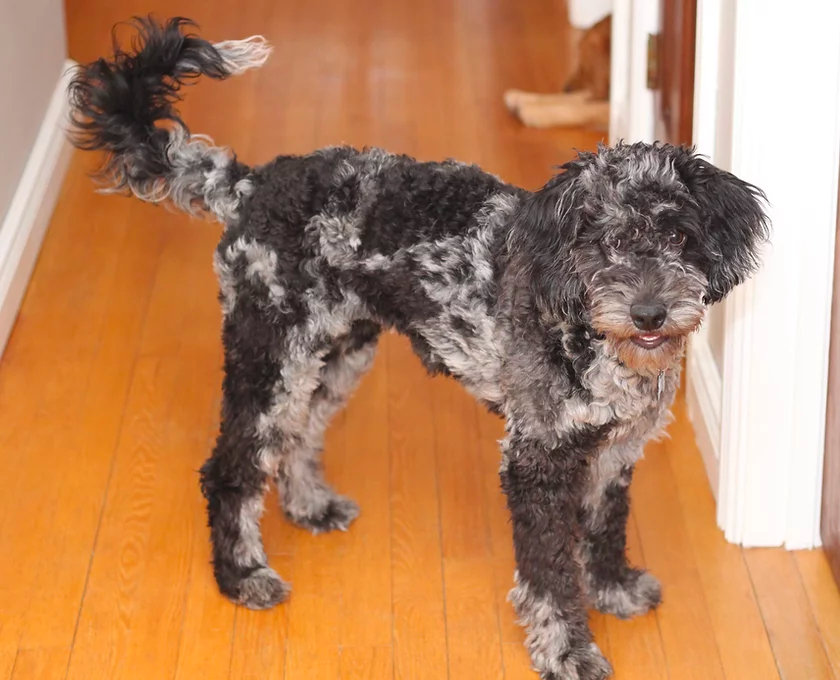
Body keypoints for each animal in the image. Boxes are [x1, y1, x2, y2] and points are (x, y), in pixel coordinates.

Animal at [69, 18, 772, 676]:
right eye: (605, 242)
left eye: (678, 236)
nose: (649, 311)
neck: (590, 334)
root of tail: (250, 183)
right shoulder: (537, 460)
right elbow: (549, 575)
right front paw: (567, 651)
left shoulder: (614, 451)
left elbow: (602, 532)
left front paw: (615, 589)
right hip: (271, 356)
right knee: (231, 469)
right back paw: (242, 575)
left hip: (336, 356)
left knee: (298, 434)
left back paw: (310, 505)